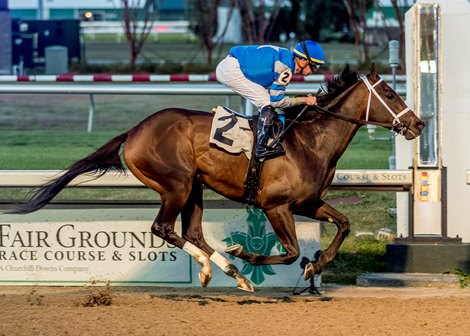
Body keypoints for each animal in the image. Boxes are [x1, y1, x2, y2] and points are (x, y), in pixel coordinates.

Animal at [11, 65, 422, 292]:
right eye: (389, 93)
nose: (417, 124)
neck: (309, 141)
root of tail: (135, 130)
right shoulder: (276, 206)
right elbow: (289, 252)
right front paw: (252, 254)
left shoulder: (309, 202)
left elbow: (344, 224)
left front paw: (317, 264)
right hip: (176, 185)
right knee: (163, 228)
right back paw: (222, 267)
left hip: (194, 186)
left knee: (191, 232)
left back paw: (228, 272)